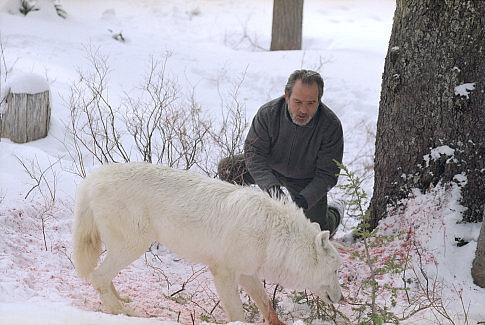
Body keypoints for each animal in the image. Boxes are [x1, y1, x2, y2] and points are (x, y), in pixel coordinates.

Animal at [72, 163, 342, 322]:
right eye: (335, 271)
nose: (340, 298)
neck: (273, 235)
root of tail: (91, 178)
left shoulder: (247, 274)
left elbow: (267, 305)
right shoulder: (223, 273)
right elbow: (238, 313)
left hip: (123, 248)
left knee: (103, 276)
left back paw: (122, 300)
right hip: (134, 246)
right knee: (98, 276)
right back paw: (123, 312)